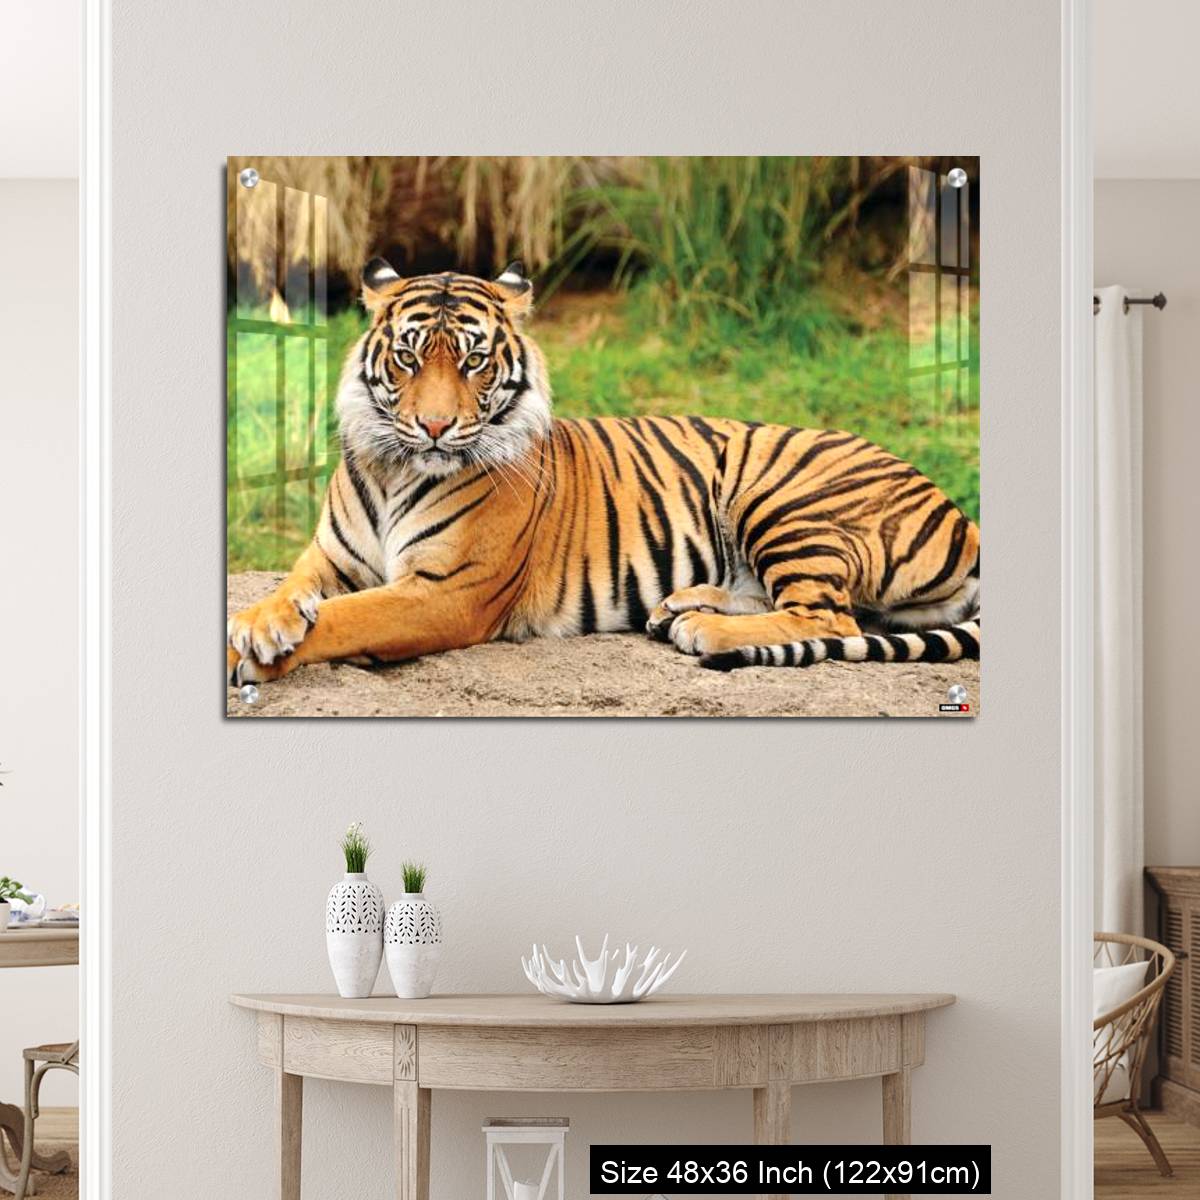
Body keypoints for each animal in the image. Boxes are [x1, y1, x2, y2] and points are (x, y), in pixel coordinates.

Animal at [227, 259, 980, 686]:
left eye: (473, 361)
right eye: (409, 357)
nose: (435, 427)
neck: (393, 468)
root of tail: (964, 519)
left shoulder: (446, 591)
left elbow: (345, 619)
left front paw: (254, 653)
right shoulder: (329, 557)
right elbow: (294, 590)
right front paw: (261, 622)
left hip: (783, 498)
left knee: (828, 614)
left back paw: (704, 629)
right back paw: (682, 606)